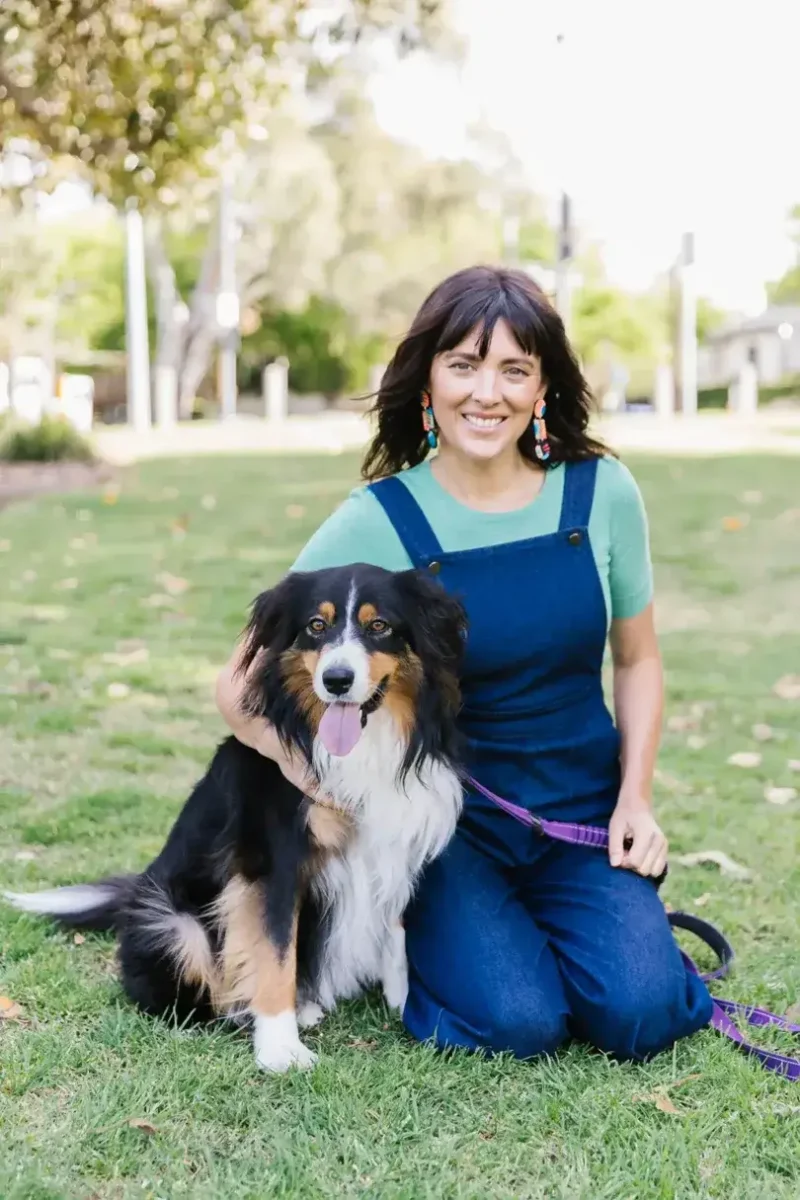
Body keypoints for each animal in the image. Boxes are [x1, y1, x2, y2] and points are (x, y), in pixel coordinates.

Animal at [4, 566, 470, 1075]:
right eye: (316, 626)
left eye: (380, 626)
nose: (337, 680)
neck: (362, 747)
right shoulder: (272, 862)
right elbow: (274, 951)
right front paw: (279, 1048)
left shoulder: (395, 842)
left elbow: (398, 935)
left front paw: (409, 1007)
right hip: (176, 927)